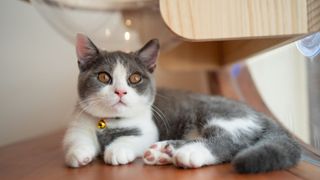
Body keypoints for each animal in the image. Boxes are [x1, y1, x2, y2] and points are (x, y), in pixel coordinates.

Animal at [63, 33, 302, 173]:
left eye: (135, 78)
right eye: (104, 77)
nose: (120, 91)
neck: (109, 121)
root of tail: (259, 114)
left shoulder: (148, 128)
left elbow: (132, 138)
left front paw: (117, 150)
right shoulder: (78, 122)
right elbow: (75, 139)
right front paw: (79, 153)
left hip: (219, 114)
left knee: (230, 142)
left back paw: (189, 153)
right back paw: (162, 152)